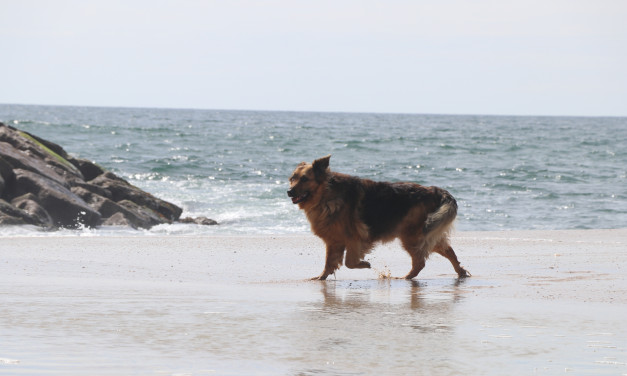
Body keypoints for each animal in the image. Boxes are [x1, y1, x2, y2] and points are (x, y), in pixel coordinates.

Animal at [290, 154, 472, 280]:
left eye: (304, 179)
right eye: (292, 179)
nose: (289, 191)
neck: (326, 194)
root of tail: (435, 190)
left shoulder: (354, 239)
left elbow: (349, 262)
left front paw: (364, 264)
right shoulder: (334, 240)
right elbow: (329, 262)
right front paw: (321, 277)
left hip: (412, 236)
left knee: (420, 261)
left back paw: (406, 277)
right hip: (427, 233)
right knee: (448, 251)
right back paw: (460, 272)